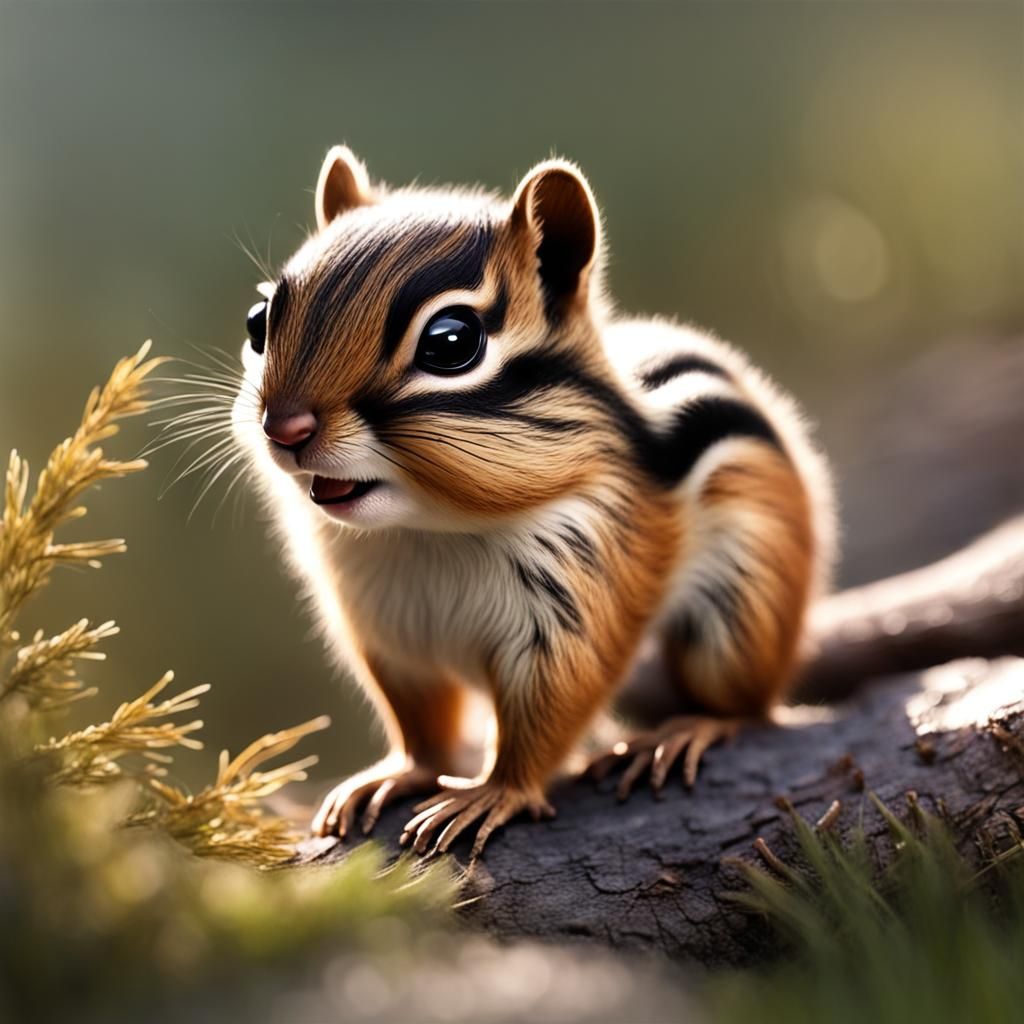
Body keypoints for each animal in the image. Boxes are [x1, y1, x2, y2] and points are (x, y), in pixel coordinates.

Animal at [232, 146, 836, 858]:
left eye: (450, 342)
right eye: (258, 323)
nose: (285, 427)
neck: (427, 531)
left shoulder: (575, 599)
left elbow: (552, 704)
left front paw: (495, 793)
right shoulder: (386, 631)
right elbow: (419, 723)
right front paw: (395, 775)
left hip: (744, 605)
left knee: (747, 705)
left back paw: (685, 730)